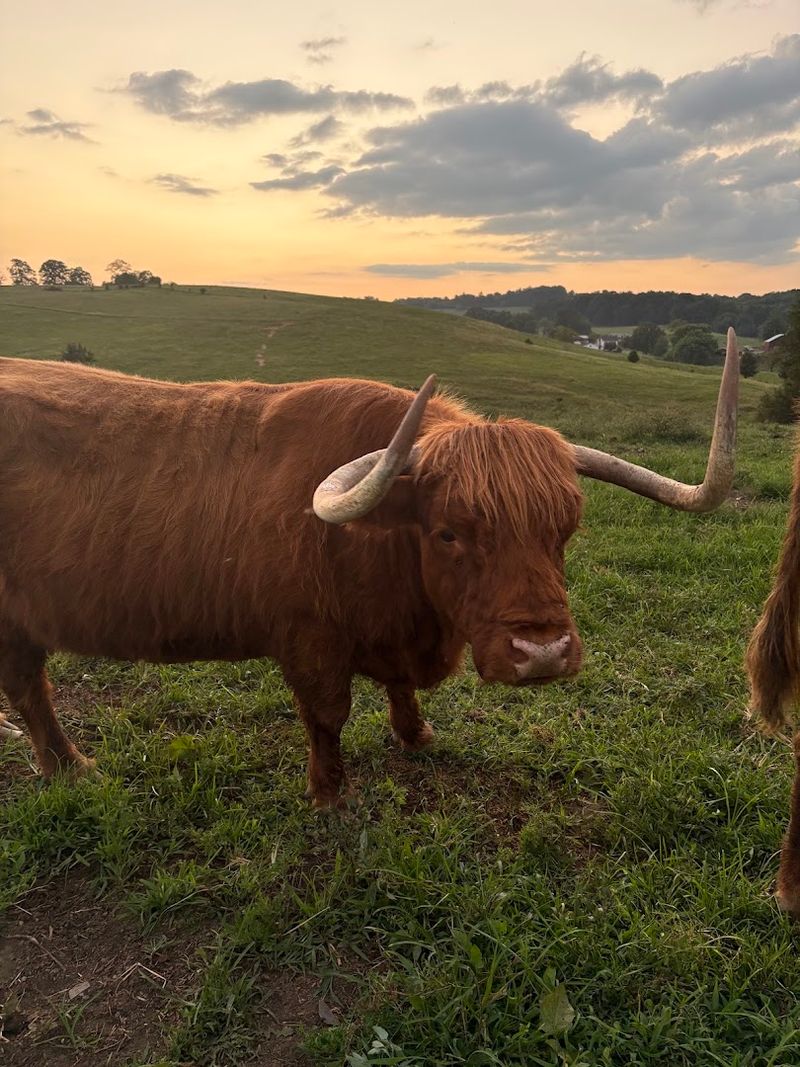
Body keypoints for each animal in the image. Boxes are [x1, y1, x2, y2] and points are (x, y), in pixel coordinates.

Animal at [0, 331, 739, 809]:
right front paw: (330, 792)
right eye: (448, 533)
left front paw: (417, 736)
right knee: (30, 689)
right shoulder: (308, 640)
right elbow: (328, 714)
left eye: (566, 530)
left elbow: (398, 690)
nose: (543, 653)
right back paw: (72, 767)